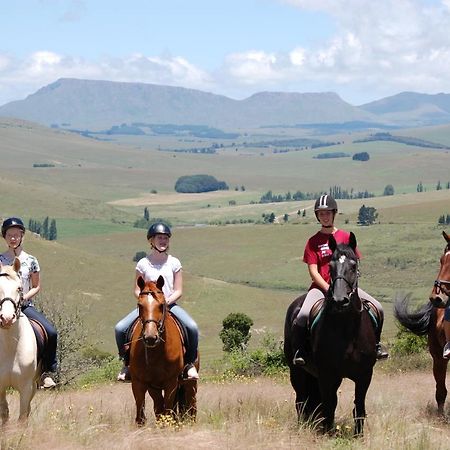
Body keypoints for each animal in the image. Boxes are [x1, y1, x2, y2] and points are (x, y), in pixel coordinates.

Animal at [128, 274, 197, 426]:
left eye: (161, 305)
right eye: (140, 305)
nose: (150, 337)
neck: (156, 352)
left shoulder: (171, 382)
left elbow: (168, 411)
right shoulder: (141, 383)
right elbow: (142, 415)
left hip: (190, 384)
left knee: (192, 406)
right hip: (156, 388)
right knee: (159, 408)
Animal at [286, 234, 378, 434]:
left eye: (353, 265)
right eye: (330, 267)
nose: (339, 300)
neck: (347, 329)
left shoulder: (364, 375)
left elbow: (359, 406)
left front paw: (358, 435)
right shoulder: (328, 375)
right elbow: (329, 405)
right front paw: (328, 433)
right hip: (296, 371)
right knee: (301, 401)